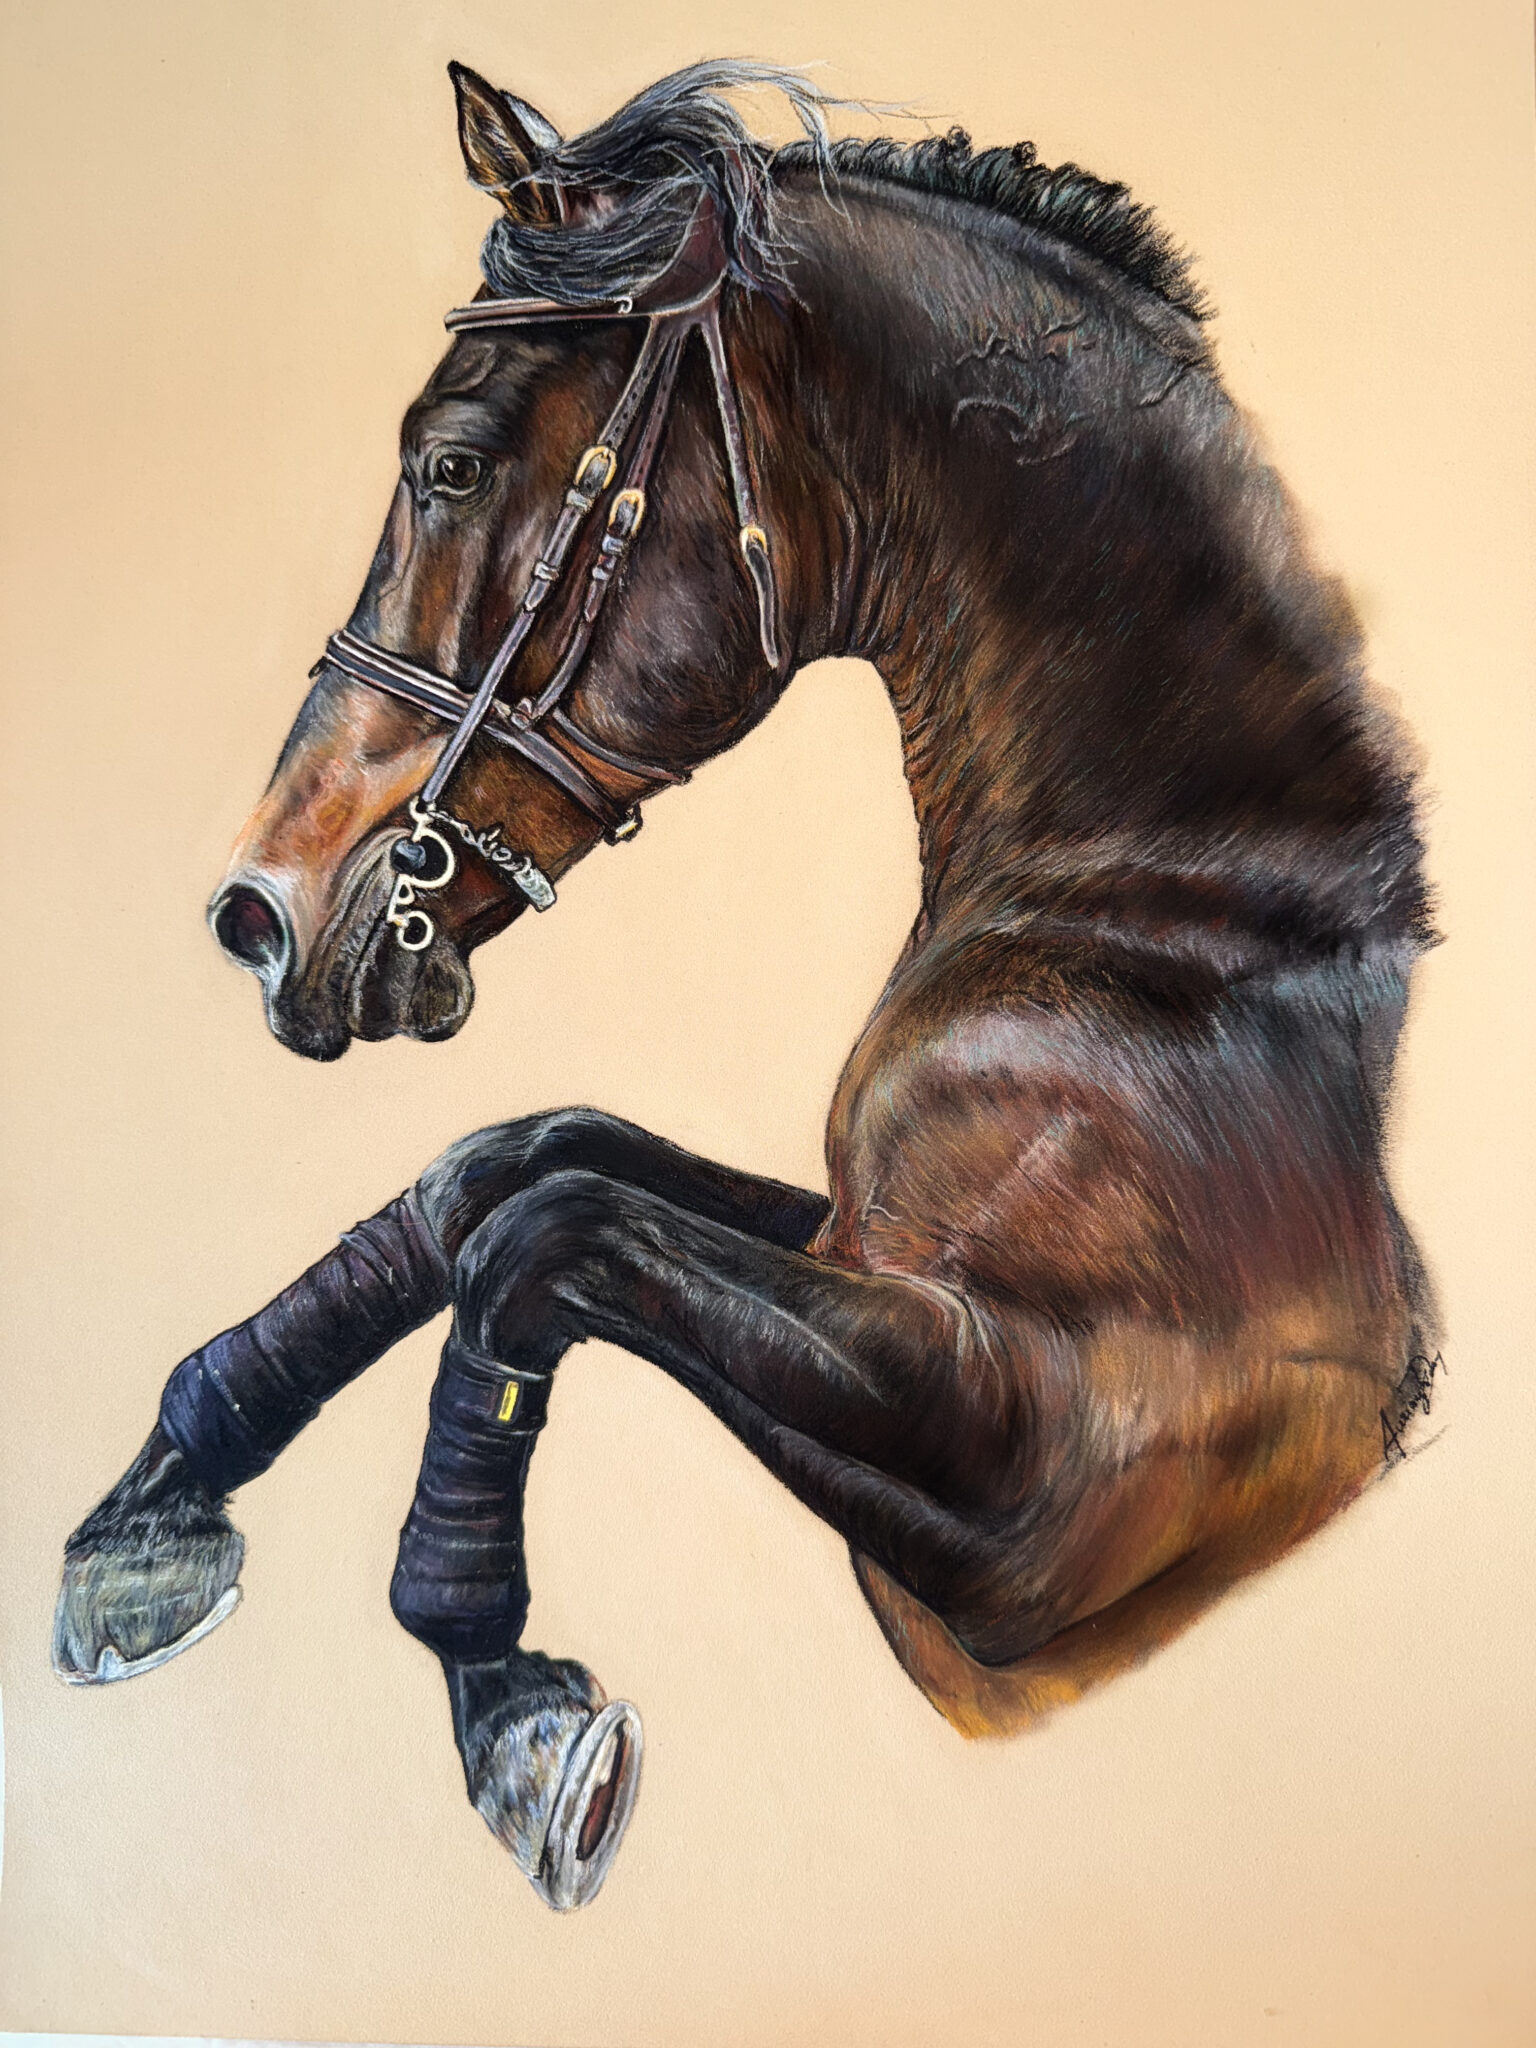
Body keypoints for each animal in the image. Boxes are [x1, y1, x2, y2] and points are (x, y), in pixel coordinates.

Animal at [53, 60, 1438, 1912]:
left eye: (450, 460)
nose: (258, 916)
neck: (1167, 920)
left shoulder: (1034, 1505)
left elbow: (547, 1235)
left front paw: (508, 1701)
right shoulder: (854, 1256)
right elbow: (516, 1164)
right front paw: (156, 1508)